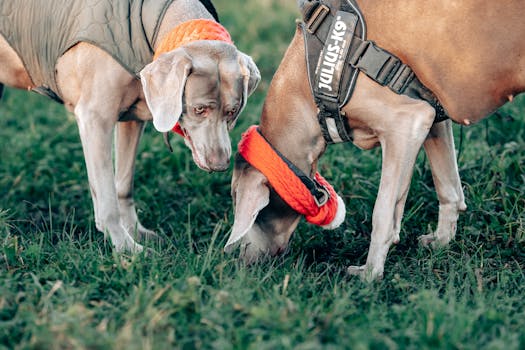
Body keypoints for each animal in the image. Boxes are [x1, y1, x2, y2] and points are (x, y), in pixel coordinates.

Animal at [0, 0, 260, 252]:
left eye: (232, 112)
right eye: (199, 109)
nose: (220, 165)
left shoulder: (132, 118)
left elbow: (123, 185)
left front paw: (136, 232)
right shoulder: (94, 118)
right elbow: (107, 197)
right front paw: (126, 247)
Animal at [226, 0, 524, 280]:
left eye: (250, 210)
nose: (241, 264)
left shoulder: (407, 121)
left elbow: (382, 213)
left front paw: (369, 273)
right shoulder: (432, 115)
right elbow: (448, 187)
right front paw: (442, 241)